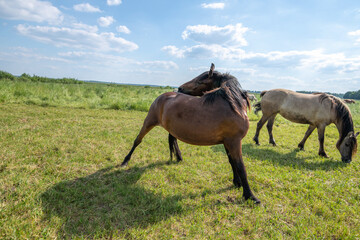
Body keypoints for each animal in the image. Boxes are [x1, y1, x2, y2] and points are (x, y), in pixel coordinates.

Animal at [122, 63, 260, 202]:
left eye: (200, 81)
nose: (180, 88)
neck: (233, 105)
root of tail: (163, 96)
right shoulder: (234, 142)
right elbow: (241, 167)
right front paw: (250, 196)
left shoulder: (228, 142)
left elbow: (233, 162)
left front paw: (237, 183)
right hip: (149, 122)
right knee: (137, 140)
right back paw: (125, 161)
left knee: (173, 140)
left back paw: (179, 158)